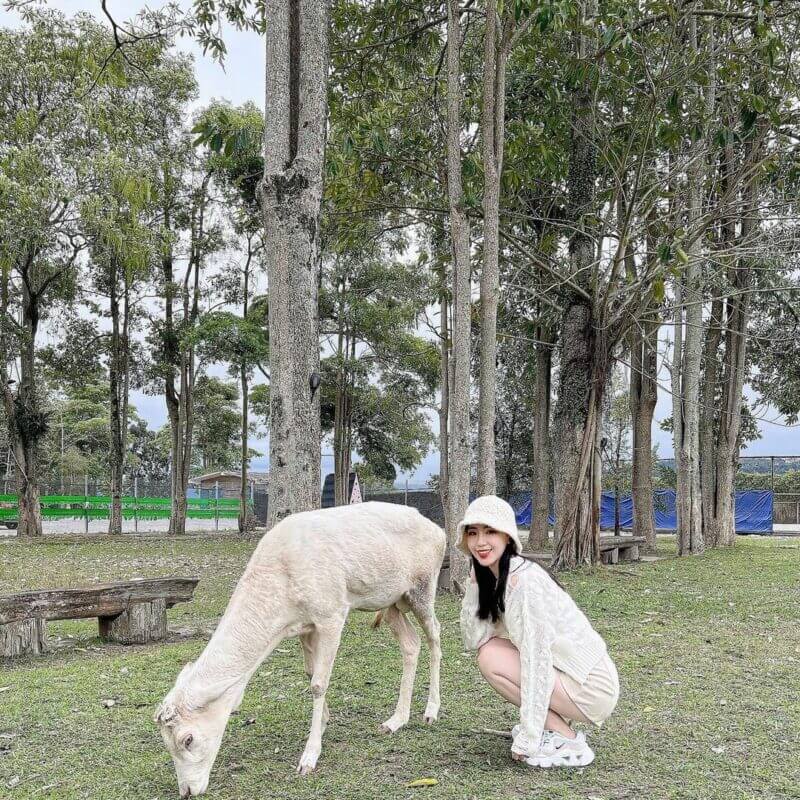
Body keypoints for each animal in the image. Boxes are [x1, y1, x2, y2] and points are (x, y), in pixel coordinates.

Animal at [155, 504, 444, 796]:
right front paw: (325, 722)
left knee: (435, 634)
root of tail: (438, 530)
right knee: (411, 643)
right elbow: (310, 673)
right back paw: (395, 721)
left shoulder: (332, 614)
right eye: (165, 743)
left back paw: (431, 712)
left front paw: (309, 758)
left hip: (423, 587)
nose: (187, 791)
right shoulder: (305, 626)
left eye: (187, 739)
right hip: (392, 602)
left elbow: (318, 683)